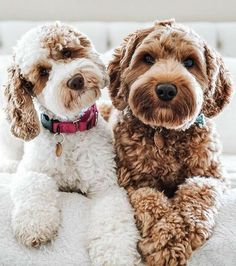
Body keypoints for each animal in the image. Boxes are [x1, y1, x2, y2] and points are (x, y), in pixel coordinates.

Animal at [1, 22, 140, 266]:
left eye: (66, 52)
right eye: (43, 72)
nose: (76, 80)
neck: (68, 130)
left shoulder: (106, 187)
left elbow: (113, 219)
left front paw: (115, 254)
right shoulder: (32, 169)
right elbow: (35, 186)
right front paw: (35, 225)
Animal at [108, 19, 233, 264]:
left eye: (190, 62)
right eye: (147, 59)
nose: (165, 89)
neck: (165, 132)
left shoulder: (212, 177)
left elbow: (197, 194)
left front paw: (173, 238)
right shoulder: (131, 182)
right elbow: (150, 199)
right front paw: (163, 237)